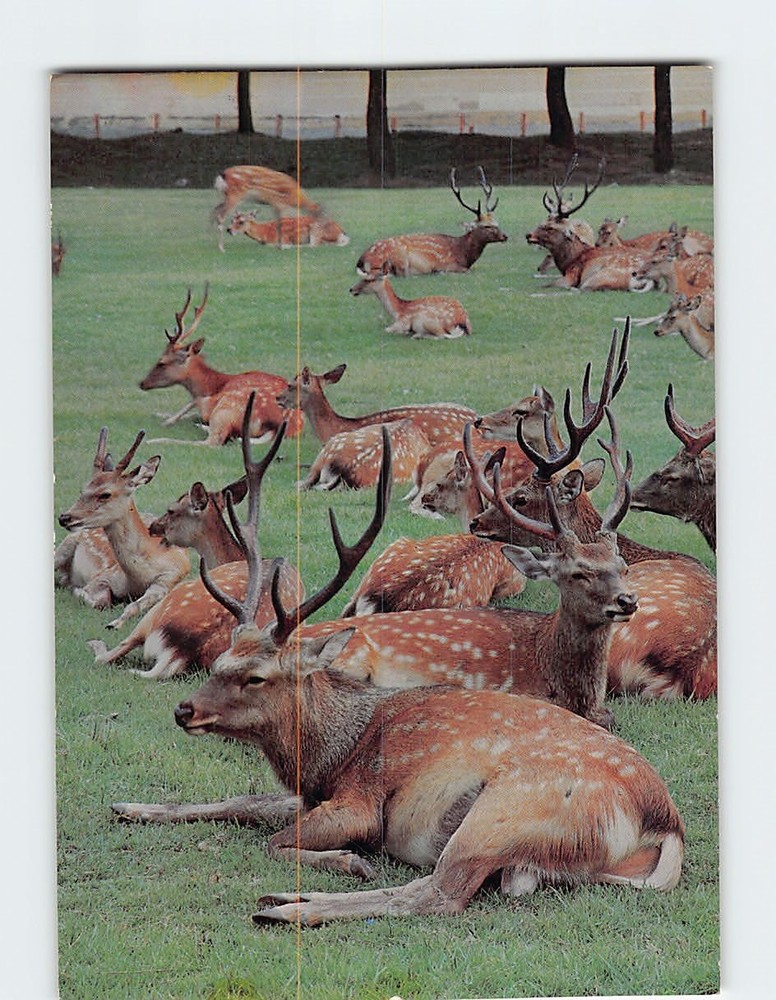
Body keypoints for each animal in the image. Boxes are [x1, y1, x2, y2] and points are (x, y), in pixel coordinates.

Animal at [57, 428, 190, 629]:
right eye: (82, 490)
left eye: (105, 494)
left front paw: (114, 623)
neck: (138, 578)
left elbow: (135, 606)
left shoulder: (169, 579)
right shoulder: (106, 575)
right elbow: (91, 597)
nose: (64, 517)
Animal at [113, 416, 683, 925]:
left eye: (257, 676)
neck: (328, 755)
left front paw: (349, 860)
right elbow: (243, 800)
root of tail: (666, 823)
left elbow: (277, 840)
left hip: (504, 811)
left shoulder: (360, 801)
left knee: (438, 893)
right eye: (220, 663)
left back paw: (286, 907)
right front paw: (133, 807)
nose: (185, 710)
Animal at [138, 286, 303, 445]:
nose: (142, 383)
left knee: (213, 441)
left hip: (228, 407)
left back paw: (155, 439)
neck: (213, 383)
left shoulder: (209, 401)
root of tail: (281, 426)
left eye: (161, 362)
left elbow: (193, 404)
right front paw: (159, 414)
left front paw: (166, 420)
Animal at [355, 167, 507, 277]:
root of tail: (361, 260)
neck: (462, 254)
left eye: (496, 222)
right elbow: (466, 270)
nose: (505, 236)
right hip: (399, 258)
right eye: (486, 226)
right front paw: (439, 272)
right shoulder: (447, 263)